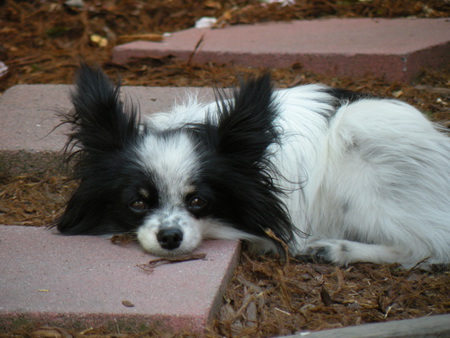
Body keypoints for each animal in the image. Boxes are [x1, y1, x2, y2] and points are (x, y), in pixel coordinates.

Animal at [57, 63, 450, 268]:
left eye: (199, 201)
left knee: (427, 245)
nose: (170, 237)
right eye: (137, 202)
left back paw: (337, 249)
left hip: (360, 138)